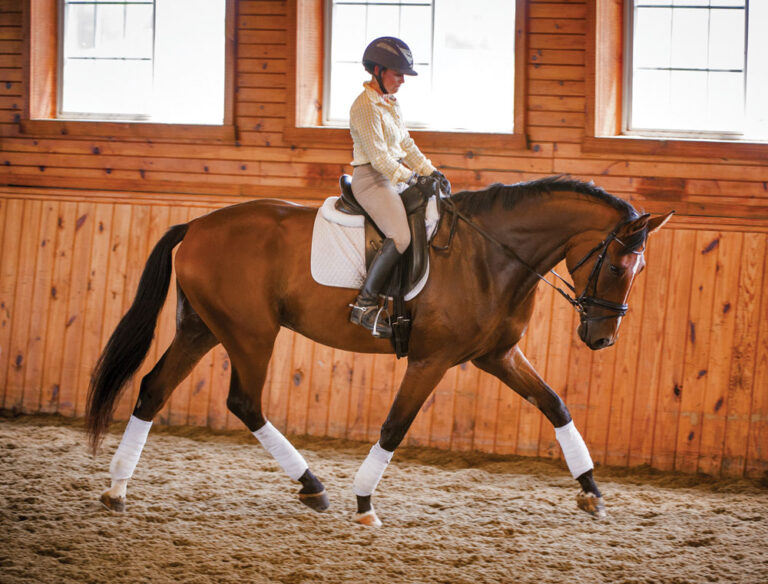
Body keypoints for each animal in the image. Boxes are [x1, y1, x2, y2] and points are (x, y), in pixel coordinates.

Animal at [85, 176, 673, 526]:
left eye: (641, 268)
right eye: (617, 265)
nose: (602, 338)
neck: (491, 253)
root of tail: (198, 225)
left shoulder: (497, 355)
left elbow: (555, 405)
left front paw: (591, 490)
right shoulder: (431, 361)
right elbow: (395, 426)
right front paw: (365, 502)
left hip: (202, 330)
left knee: (153, 390)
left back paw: (117, 489)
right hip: (251, 334)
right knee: (244, 403)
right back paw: (312, 485)